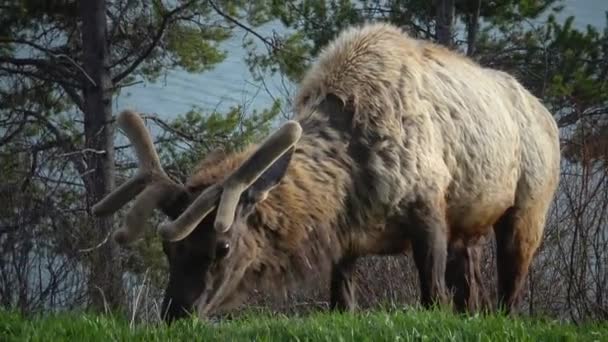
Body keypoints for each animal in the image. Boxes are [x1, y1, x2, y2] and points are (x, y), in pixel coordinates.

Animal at [91, 22, 560, 322]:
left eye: (222, 247)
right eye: (167, 249)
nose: (175, 313)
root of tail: (546, 113)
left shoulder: (429, 209)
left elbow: (432, 298)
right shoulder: (346, 239)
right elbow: (341, 303)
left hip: (528, 210)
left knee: (509, 293)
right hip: (469, 224)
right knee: (472, 294)